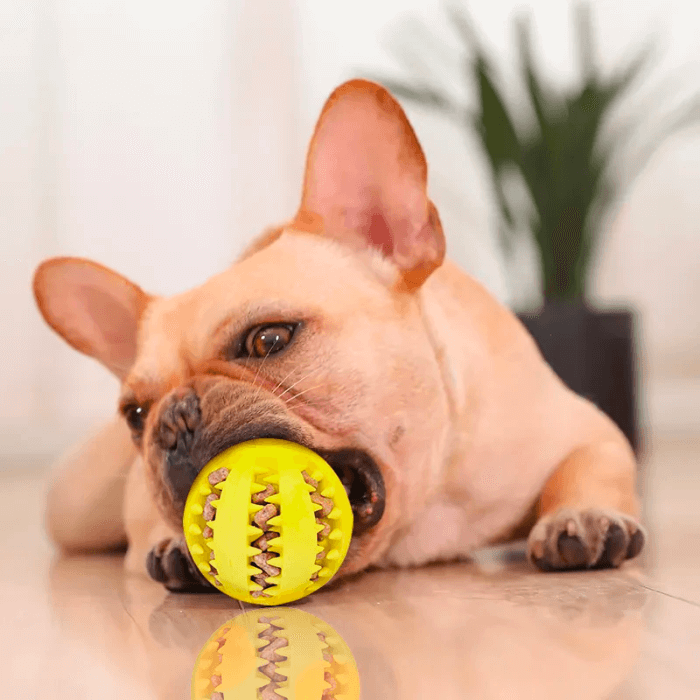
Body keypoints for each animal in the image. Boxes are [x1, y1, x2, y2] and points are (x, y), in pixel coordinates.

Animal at [34, 79, 644, 592]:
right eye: (135, 416)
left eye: (269, 341)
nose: (174, 418)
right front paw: (178, 546)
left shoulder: (582, 428)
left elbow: (590, 466)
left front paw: (582, 514)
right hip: (74, 507)